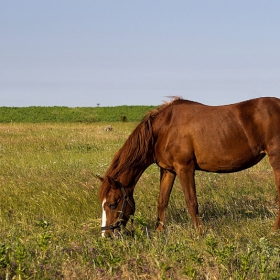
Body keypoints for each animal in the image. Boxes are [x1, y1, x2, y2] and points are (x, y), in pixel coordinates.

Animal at [97, 96, 280, 236]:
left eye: (112, 204)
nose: (106, 235)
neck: (163, 130)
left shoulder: (184, 168)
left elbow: (192, 202)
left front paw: (200, 234)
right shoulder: (168, 170)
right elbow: (162, 201)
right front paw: (158, 233)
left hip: (276, 161)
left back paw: (273, 231)